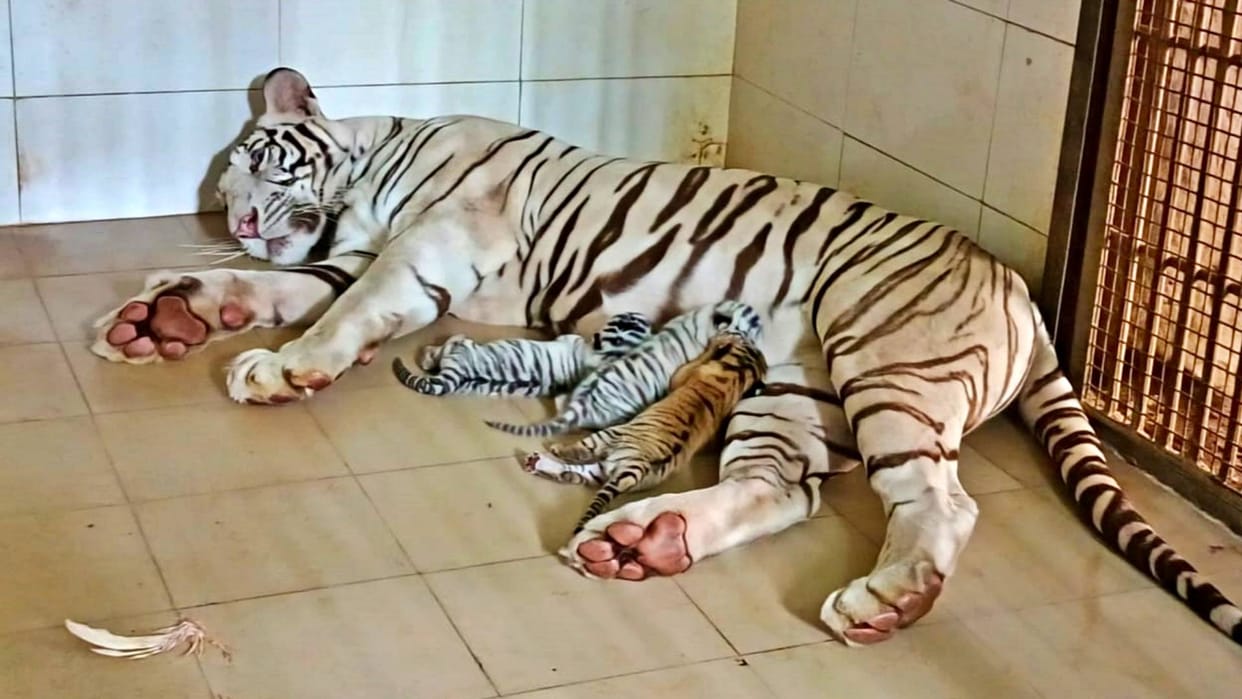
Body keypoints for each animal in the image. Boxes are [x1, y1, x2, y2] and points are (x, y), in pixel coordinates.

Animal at [392, 311, 652, 397]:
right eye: (633, 319)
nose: (644, 316)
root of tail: (455, 378)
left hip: (462, 346)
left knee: (443, 349)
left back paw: (427, 352)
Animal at [524, 331, 767, 540]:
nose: (732, 331)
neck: (740, 371)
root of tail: (639, 466)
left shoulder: (681, 375)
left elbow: (698, 360)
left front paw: (716, 343)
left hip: (609, 436)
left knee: (578, 454)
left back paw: (554, 449)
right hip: (607, 472)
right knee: (573, 474)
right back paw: (537, 463)